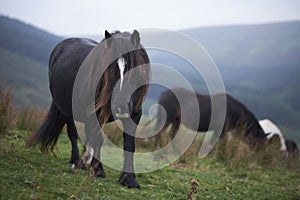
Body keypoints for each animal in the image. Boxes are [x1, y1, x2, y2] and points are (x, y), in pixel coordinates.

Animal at [27, 30, 151, 189]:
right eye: (111, 68)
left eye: (134, 69)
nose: (120, 106)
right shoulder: (94, 115)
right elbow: (98, 140)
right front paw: (98, 170)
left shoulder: (134, 115)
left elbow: (129, 145)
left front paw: (129, 179)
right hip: (68, 111)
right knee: (73, 133)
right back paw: (77, 161)